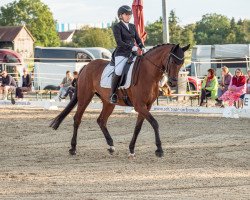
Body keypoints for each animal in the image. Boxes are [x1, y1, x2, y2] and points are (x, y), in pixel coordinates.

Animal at [49, 43, 189, 158]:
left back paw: (111, 146)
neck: (148, 74)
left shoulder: (146, 106)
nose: (173, 82)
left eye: (181, 63)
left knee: (101, 120)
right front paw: (159, 150)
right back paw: (73, 148)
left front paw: (131, 150)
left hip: (108, 102)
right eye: (172, 60)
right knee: (77, 119)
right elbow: (155, 123)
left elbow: (138, 127)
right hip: (85, 97)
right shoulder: (139, 106)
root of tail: (86, 66)